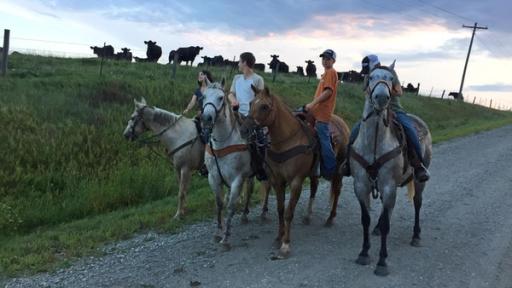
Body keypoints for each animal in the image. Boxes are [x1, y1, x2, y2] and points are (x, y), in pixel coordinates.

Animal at [200, 80, 272, 249]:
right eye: (203, 96)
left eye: (220, 97)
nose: (206, 118)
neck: (223, 142)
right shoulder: (213, 178)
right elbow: (219, 203)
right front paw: (217, 232)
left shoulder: (236, 180)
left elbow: (231, 207)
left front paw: (226, 238)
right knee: (250, 189)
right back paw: (245, 214)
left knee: (267, 187)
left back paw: (264, 212)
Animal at [242, 84, 350, 258]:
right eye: (251, 103)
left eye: (264, 106)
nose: (244, 130)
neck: (287, 140)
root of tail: (343, 123)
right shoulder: (278, 180)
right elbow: (280, 210)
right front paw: (278, 237)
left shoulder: (296, 181)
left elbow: (288, 212)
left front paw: (285, 244)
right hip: (313, 173)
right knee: (314, 188)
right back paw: (307, 216)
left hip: (338, 171)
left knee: (337, 190)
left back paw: (330, 218)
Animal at [350, 62, 430, 276]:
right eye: (371, 77)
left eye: (391, 78)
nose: (381, 97)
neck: (374, 143)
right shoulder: (361, 185)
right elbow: (365, 219)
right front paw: (364, 253)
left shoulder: (389, 186)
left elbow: (387, 224)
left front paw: (382, 261)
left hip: (418, 180)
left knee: (417, 203)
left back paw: (416, 236)